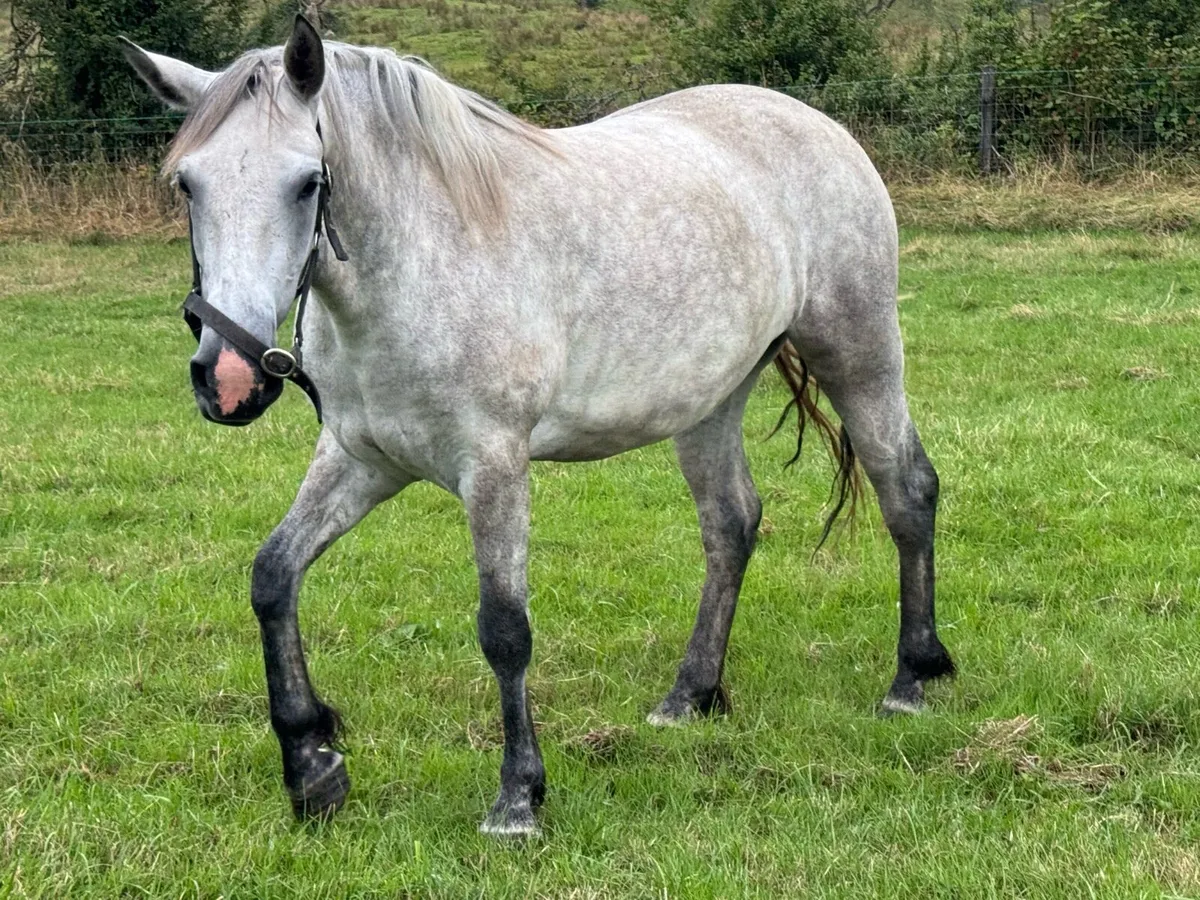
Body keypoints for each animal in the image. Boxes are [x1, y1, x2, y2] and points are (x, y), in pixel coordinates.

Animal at [121, 16, 954, 836]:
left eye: (307, 183)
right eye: (188, 184)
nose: (230, 380)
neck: (421, 264)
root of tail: (818, 125)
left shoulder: (493, 465)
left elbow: (504, 628)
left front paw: (518, 798)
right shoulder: (363, 460)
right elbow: (273, 577)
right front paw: (311, 765)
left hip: (859, 352)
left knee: (906, 490)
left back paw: (913, 677)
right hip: (711, 398)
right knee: (732, 524)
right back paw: (690, 695)